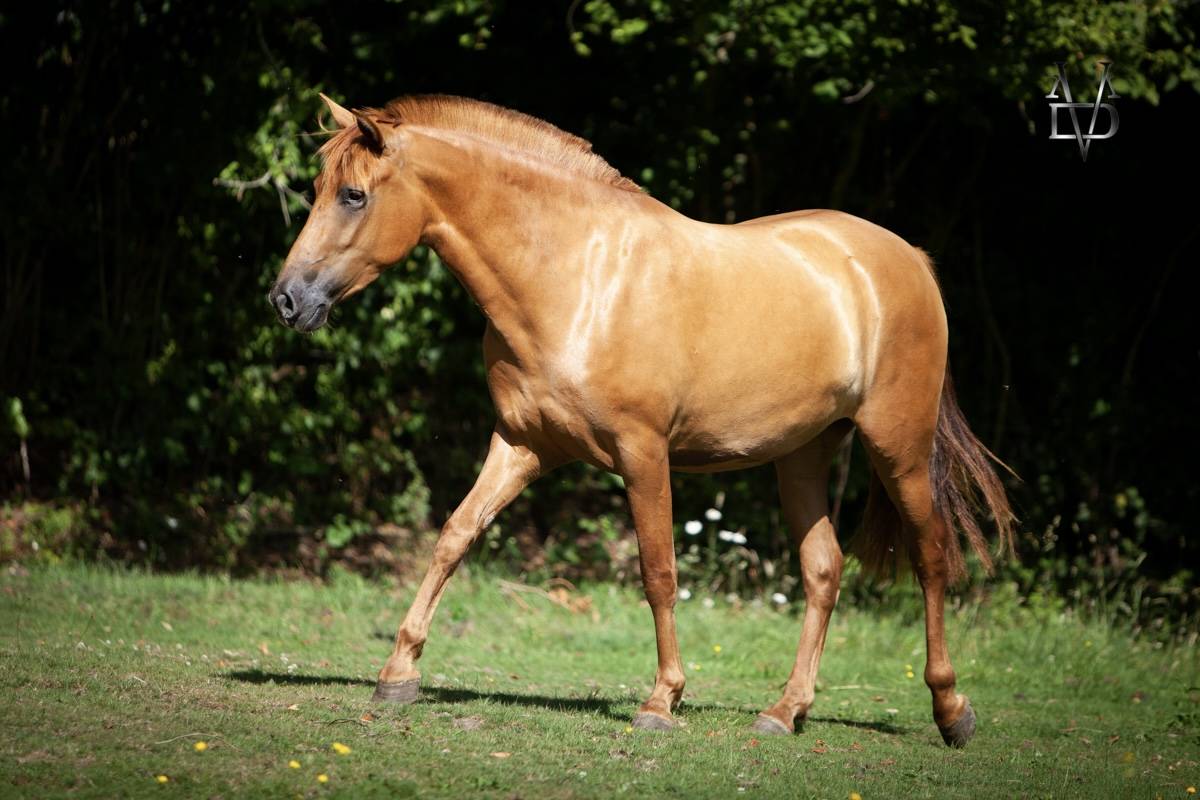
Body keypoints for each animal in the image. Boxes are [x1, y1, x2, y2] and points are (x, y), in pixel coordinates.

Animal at [268, 93, 1015, 746]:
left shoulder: (643, 452)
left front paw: (662, 701)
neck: (573, 277)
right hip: (802, 455)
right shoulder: (521, 444)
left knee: (932, 556)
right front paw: (398, 672)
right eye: (317, 186)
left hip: (899, 449)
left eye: (353, 195)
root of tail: (908, 261)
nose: (286, 300)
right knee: (823, 570)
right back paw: (784, 712)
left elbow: (658, 571)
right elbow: (454, 537)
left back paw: (951, 711)